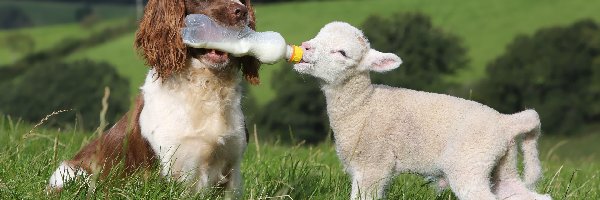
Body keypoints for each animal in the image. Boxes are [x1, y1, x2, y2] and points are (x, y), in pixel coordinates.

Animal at [48, 0, 260, 196]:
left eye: (244, 1)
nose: (241, 12)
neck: (205, 87)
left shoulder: (232, 168)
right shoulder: (173, 170)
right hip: (74, 174)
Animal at [292, 21, 552, 199]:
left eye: (342, 53)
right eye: (318, 35)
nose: (305, 47)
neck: (363, 106)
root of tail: (506, 123)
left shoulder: (373, 164)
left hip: (470, 163)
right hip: (502, 165)